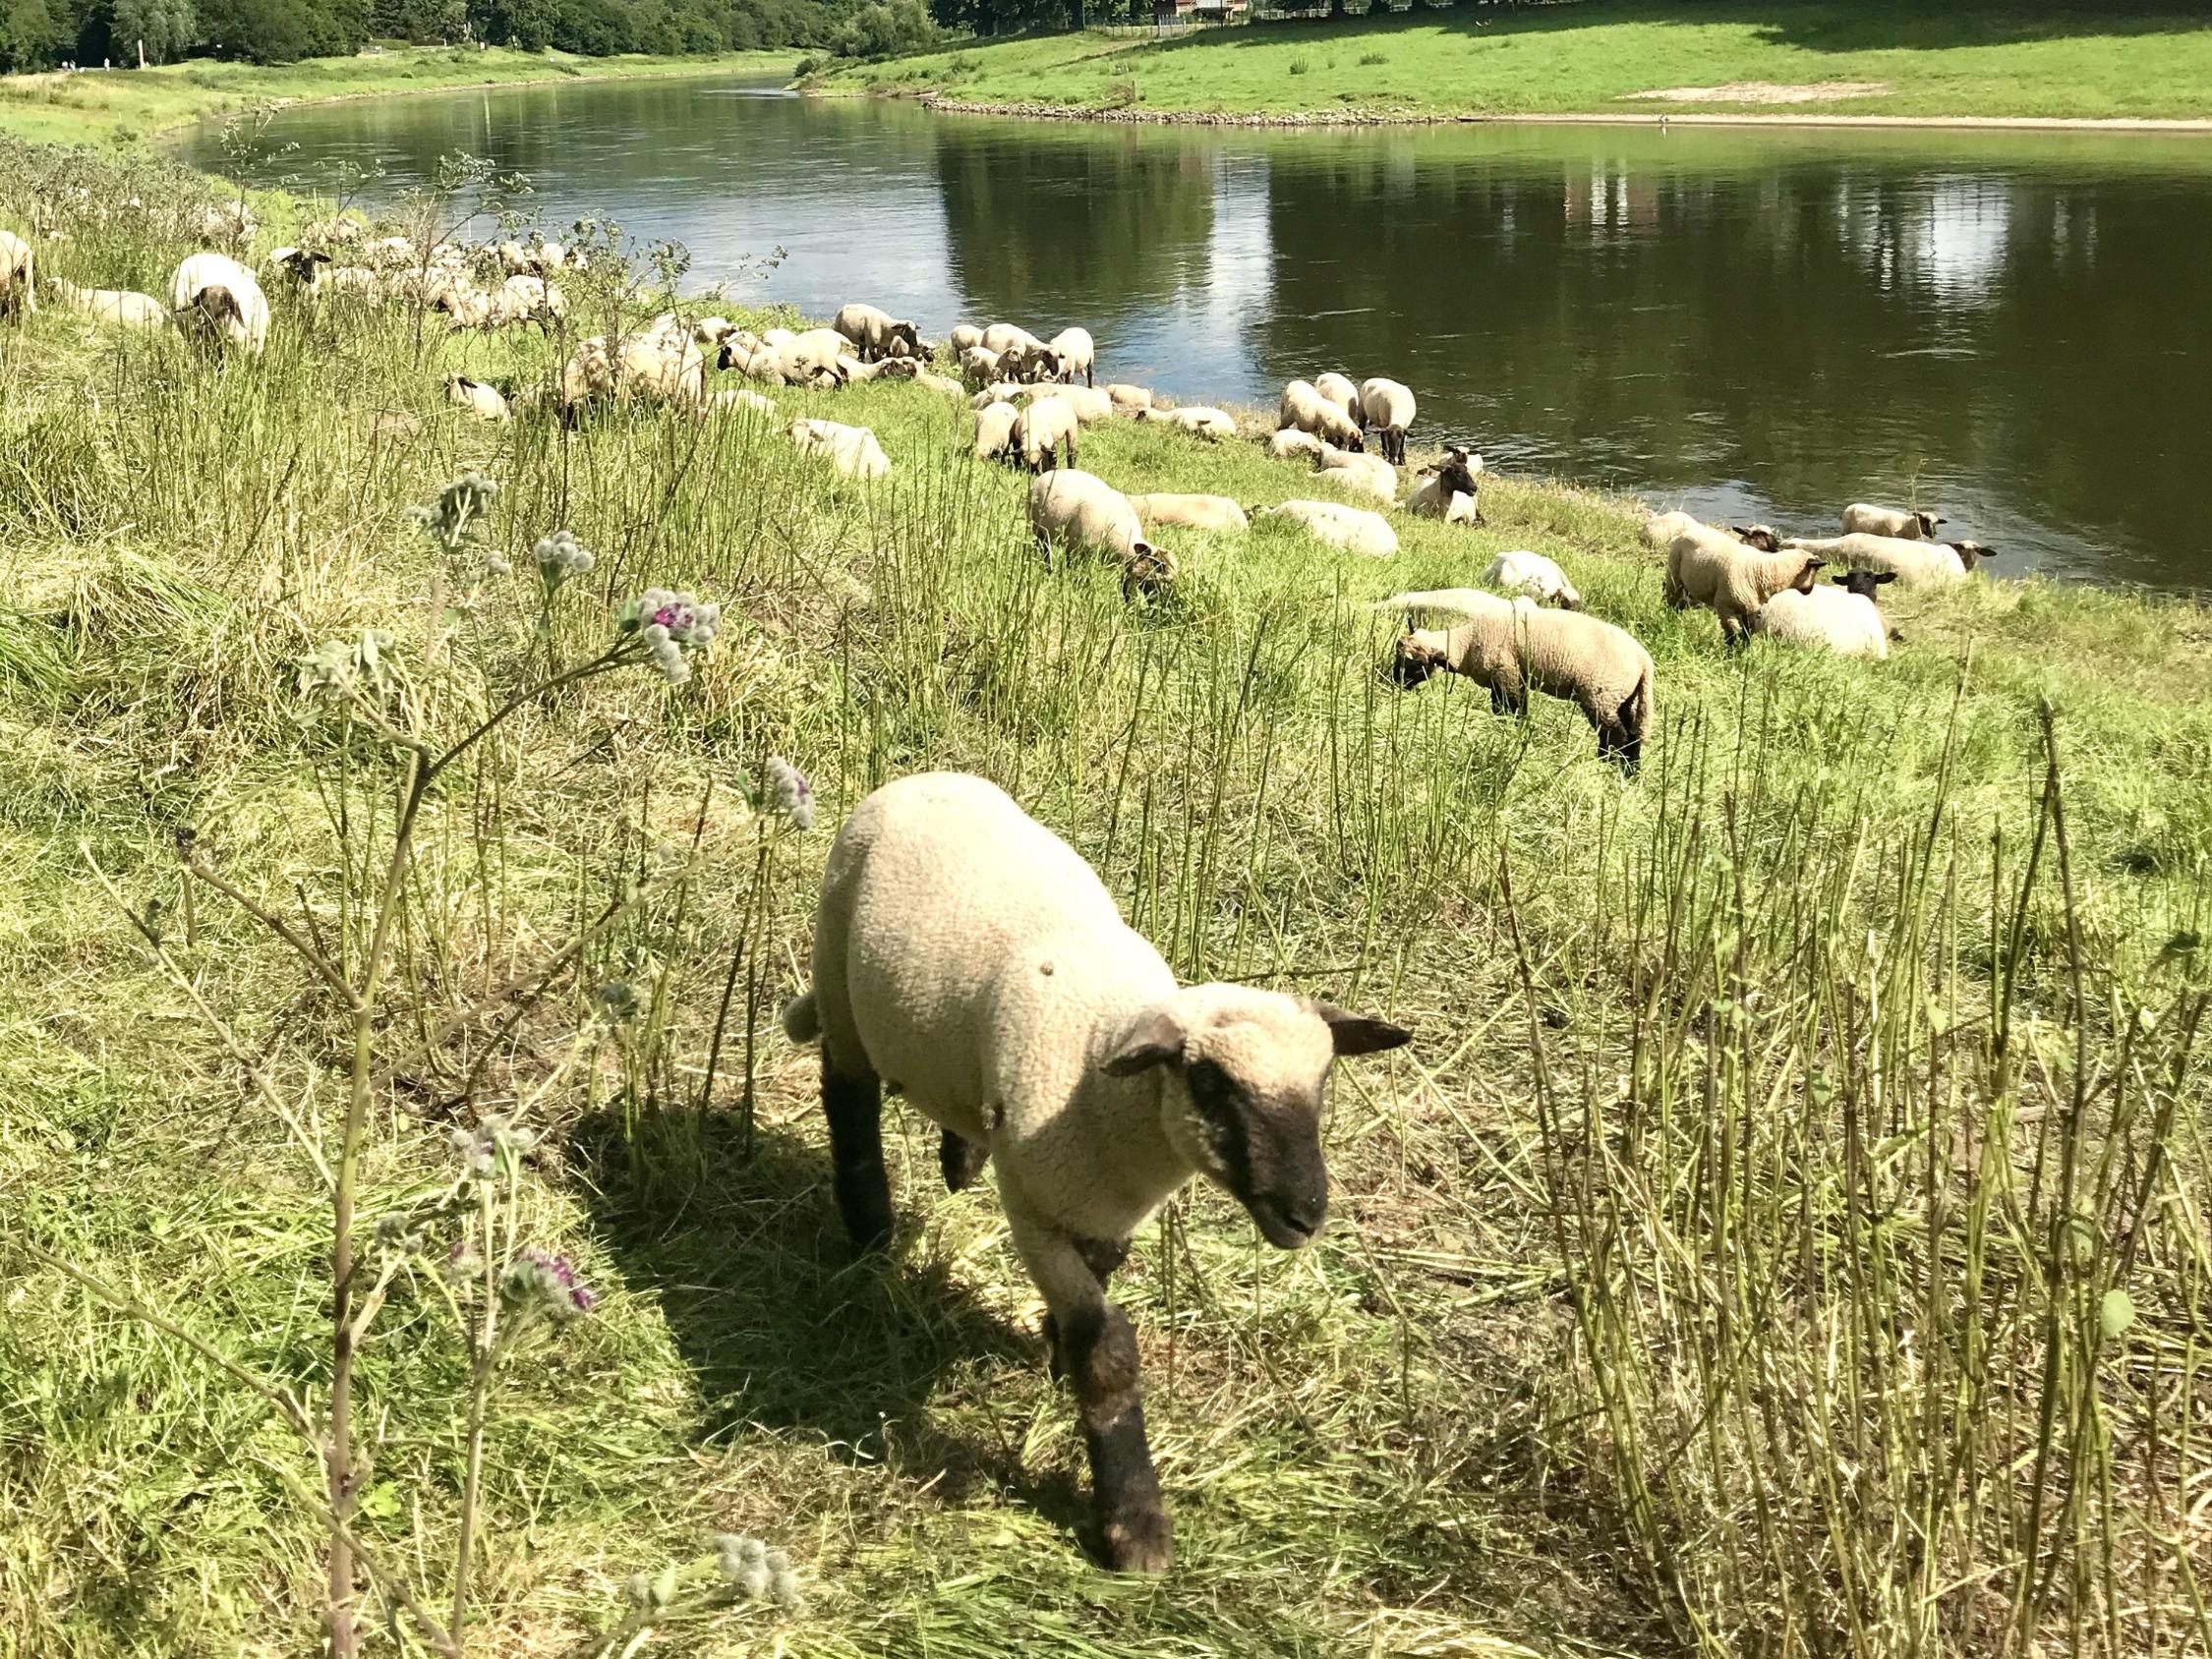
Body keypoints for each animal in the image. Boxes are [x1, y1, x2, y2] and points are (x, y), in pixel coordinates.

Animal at [783, 772, 1409, 1571]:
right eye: (1208, 1083)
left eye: (1324, 1080)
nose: (1306, 1211)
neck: (1100, 1062)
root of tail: (927, 778)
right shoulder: (1037, 1214)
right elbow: (1106, 1350)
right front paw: (1133, 1525)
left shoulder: (1103, 1210)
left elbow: (1099, 1284)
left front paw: (1056, 1358)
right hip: (838, 978)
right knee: (849, 1099)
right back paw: (869, 1233)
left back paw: (959, 1157)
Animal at [1030, 469, 1177, 597]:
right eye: (1159, 568)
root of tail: (1048, 473)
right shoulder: (1078, 551)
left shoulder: (1128, 567)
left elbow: (1126, 588)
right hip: (1040, 530)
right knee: (1045, 550)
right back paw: (1047, 570)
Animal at [1384, 591, 1657, 774]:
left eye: (1415, 665)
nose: (1392, 681)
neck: (1467, 643)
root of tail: (1644, 661)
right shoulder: (1508, 680)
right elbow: (1503, 709)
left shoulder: (1507, 675)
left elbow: (1515, 710)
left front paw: (1515, 732)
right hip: (1622, 696)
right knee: (1631, 734)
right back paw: (1629, 771)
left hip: (1600, 692)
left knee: (1617, 733)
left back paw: (1606, 763)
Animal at [1664, 522, 1819, 643]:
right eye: (1761, 534)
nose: (1779, 546)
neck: (1759, 568)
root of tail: (1684, 533)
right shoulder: (1725, 607)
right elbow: (1732, 635)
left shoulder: (1750, 611)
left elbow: (1747, 635)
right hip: (1674, 577)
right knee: (1672, 602)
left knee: (1680, 603)